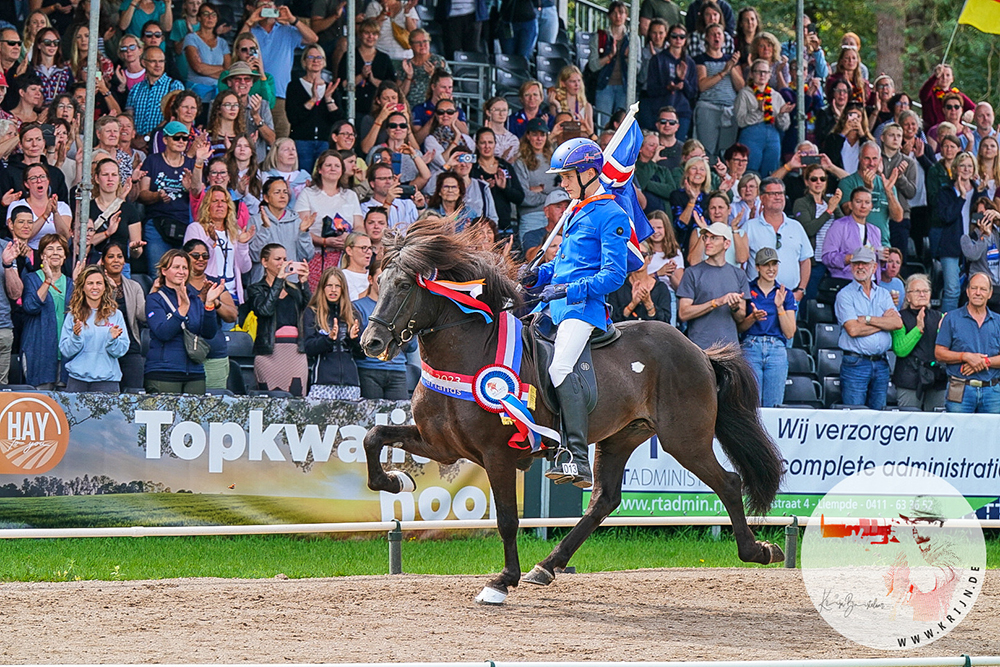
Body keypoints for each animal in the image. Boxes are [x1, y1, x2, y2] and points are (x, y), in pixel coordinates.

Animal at [362, 219, 788, 604]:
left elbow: (507, 519)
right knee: (605, 499)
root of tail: (698, 351)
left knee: (728, 483)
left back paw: (759, 551)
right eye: (379, 282)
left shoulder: (496, 455)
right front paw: (396, 481)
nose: (370, 342)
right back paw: (547, 565)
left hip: (685, 439)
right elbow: (373, 436)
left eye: (403, 286)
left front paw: (502, 581)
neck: (467, 354)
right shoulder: (442, 445)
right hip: (622, 437)